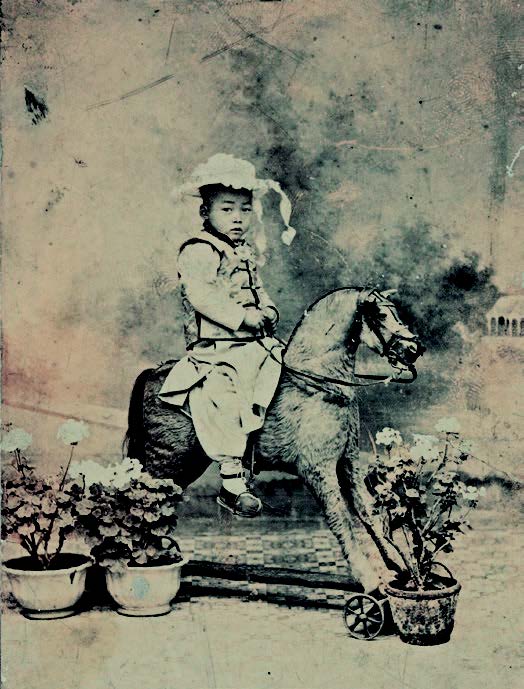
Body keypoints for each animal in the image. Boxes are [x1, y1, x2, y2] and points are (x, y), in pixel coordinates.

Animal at [125, 287, 424, 590]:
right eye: (381, 314)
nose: (415, 349)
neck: (318, 383)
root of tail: (152, 374)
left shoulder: (347, 464)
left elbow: (368, 513)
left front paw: (397, 567)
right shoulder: (318, 470)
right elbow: (341, 519)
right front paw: (369, 578)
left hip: (183, 465)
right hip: (167, 460)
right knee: (140, 498)